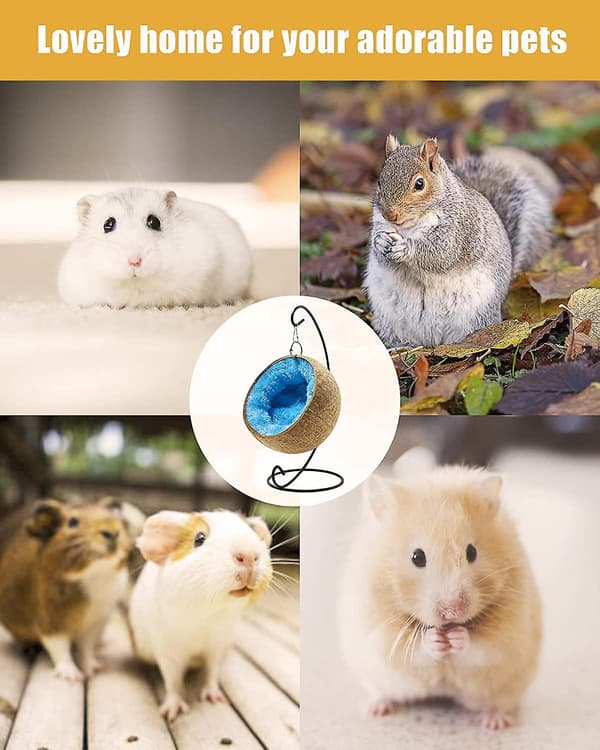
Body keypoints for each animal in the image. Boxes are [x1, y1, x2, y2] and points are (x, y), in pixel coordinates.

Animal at [0, 498, 130, 680]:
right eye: (72, 522)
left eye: (113, 516)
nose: (111, 532)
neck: (94, 575)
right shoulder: (51, 622)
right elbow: (60, 648)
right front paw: (71, 676)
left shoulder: (95, 623)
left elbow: (86, 647)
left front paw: (94, 669)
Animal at [129, 509, 272, 721]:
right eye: (199, 538)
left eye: (251, 532)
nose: (248, 556)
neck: (206, 618)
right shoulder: (168, 651)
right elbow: (172, 681)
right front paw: (172, 712)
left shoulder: (217, 646)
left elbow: (211, 673)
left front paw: (215, 698)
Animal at [339, 465, 541, 730]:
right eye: (417, 557)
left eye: (472, 552)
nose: (452, 611)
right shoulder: (378, 629)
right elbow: (409, 648)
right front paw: (435, 640)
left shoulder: (509, 631)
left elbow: (483, 647)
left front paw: (457, 637)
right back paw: (376, 708)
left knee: (498, 702)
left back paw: (494, 722)